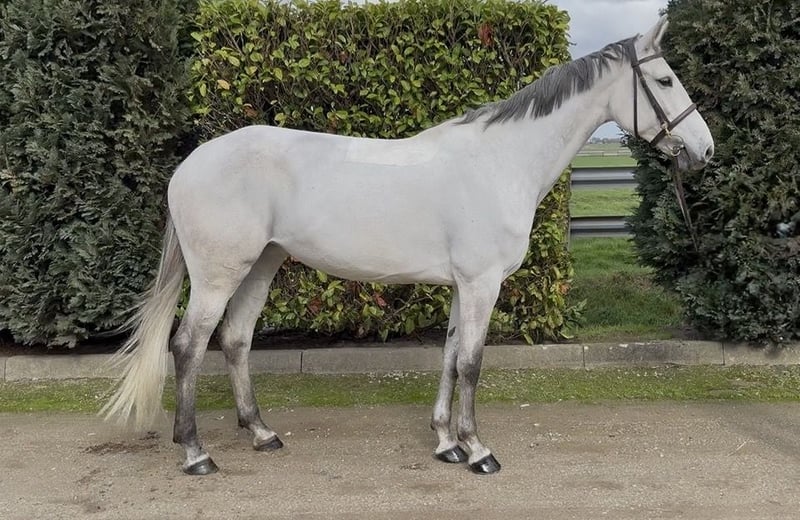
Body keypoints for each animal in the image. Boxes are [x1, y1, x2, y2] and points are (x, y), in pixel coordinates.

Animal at [103, 15, 714, 475]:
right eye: (664, 82)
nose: (704, 150)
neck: (501, 162)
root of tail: (190, 165)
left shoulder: (463, 285)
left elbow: (448, 356)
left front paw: (446, 444)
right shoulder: (482, 284)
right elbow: (471, 363)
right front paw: (478, 450)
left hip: (261, 264)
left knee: (235, 340)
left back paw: (261, 433)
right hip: (218, 273)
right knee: (187, 346)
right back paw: (196, 453)